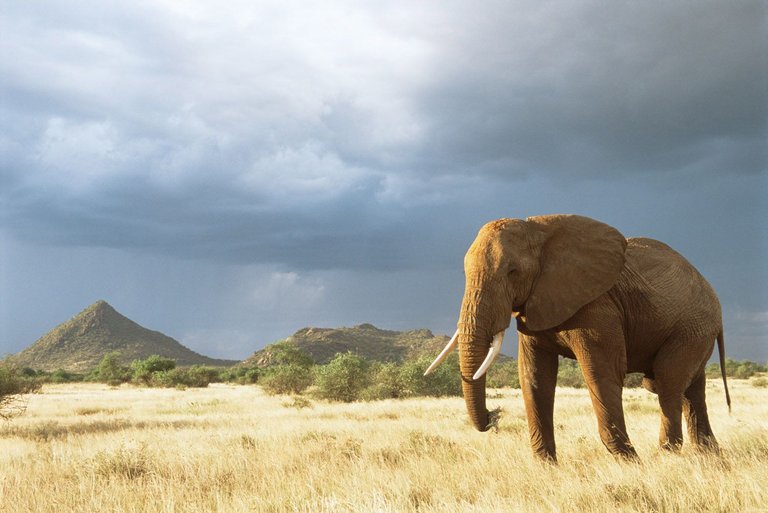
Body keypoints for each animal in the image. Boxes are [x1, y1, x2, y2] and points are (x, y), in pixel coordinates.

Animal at [426, 214, 732, 462]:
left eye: (513, 272)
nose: (494, 415)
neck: (538, 232)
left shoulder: (598, 307)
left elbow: (601, 373)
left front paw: (630, 463)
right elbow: (534, 376)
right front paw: (546, 467)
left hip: (692, 327)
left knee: (668, 383)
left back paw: (667, 455)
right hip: (695, 330)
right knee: (692, 389)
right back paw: (709, 454)